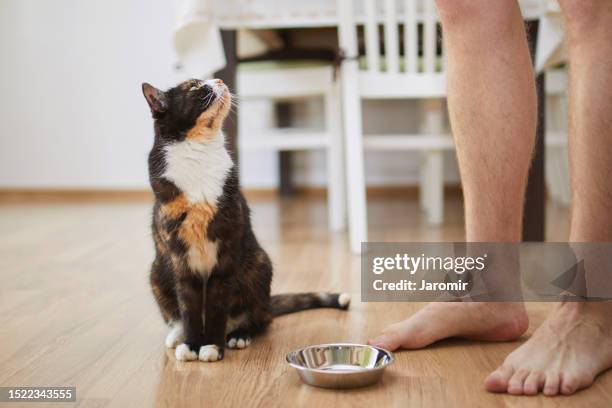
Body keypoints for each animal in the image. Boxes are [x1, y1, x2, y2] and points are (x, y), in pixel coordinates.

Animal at [140, 78, 350, 362]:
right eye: (194, 87)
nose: (218, 80)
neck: (200, 153)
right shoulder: (179, 257)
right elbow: (188, 307)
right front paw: (191, 345)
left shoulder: (226, 253)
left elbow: (217, 306)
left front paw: (212, 346)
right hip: (157, 271)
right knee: (176, 313)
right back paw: (177, 336)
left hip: (259, 264)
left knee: (260, 318)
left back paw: (239, 334)